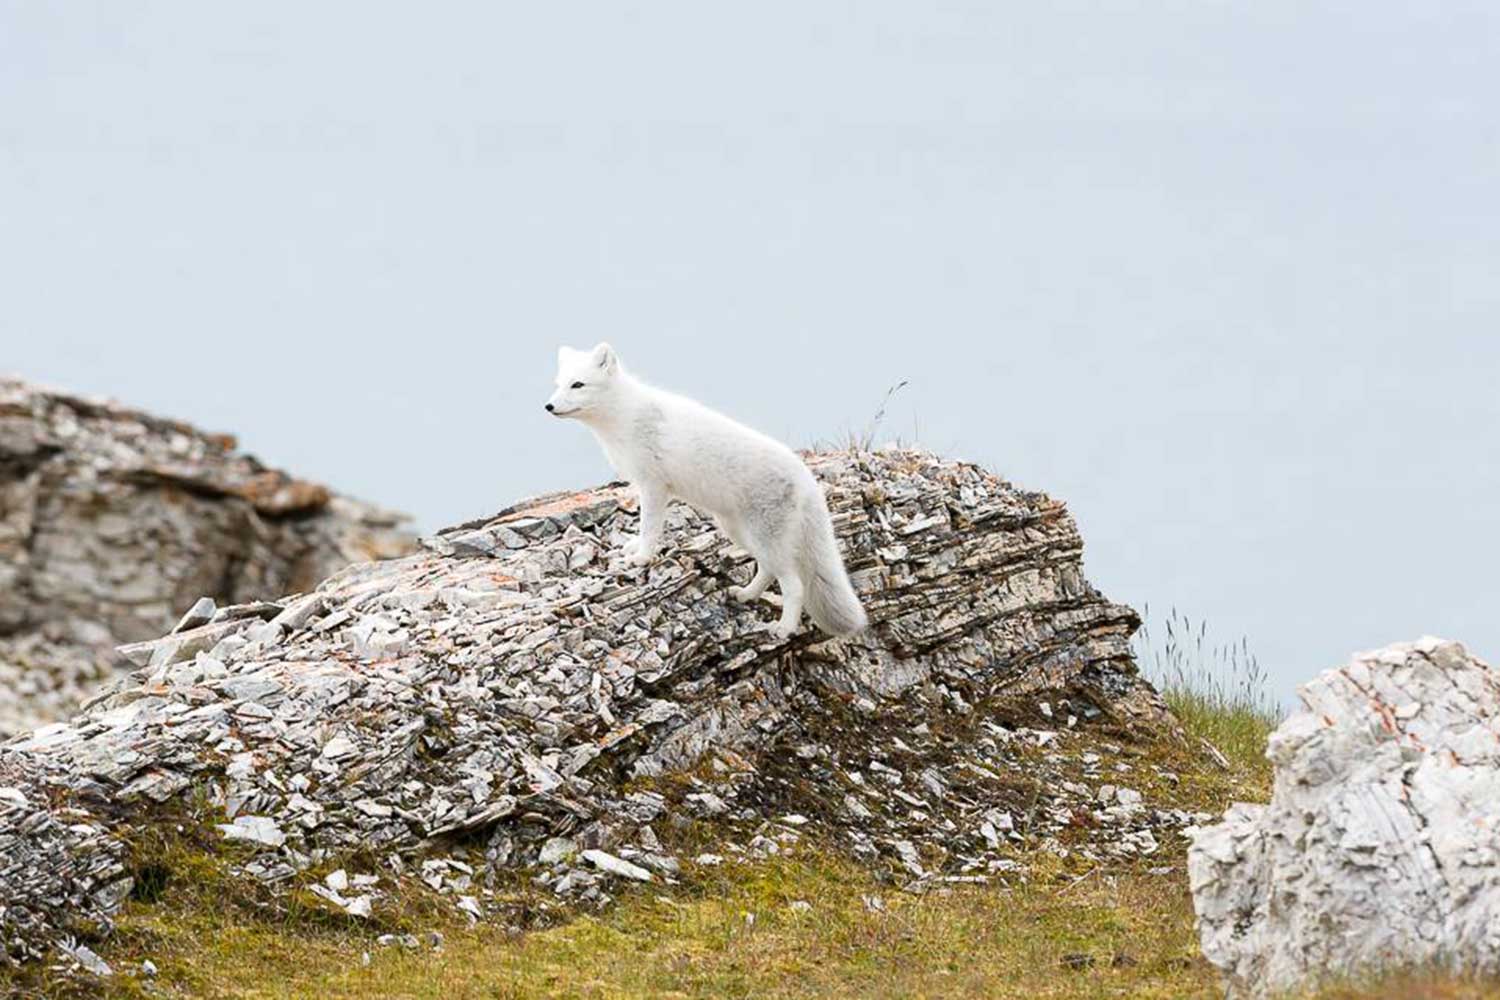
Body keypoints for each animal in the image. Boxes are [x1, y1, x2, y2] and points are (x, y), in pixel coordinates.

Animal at [546, 344, 870, 641]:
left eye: (578, 384)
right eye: (559, 384)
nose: (547, 407)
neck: (623, 417)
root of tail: (807, 478)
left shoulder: (654, 486)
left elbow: (649, 528)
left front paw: (641, 558)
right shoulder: (644, 485)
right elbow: (642, 528)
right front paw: (632, 548)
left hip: (766, 538)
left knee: (793, 585)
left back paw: (783, 628)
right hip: (739, 531)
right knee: (767, 570)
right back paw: (746, 595)